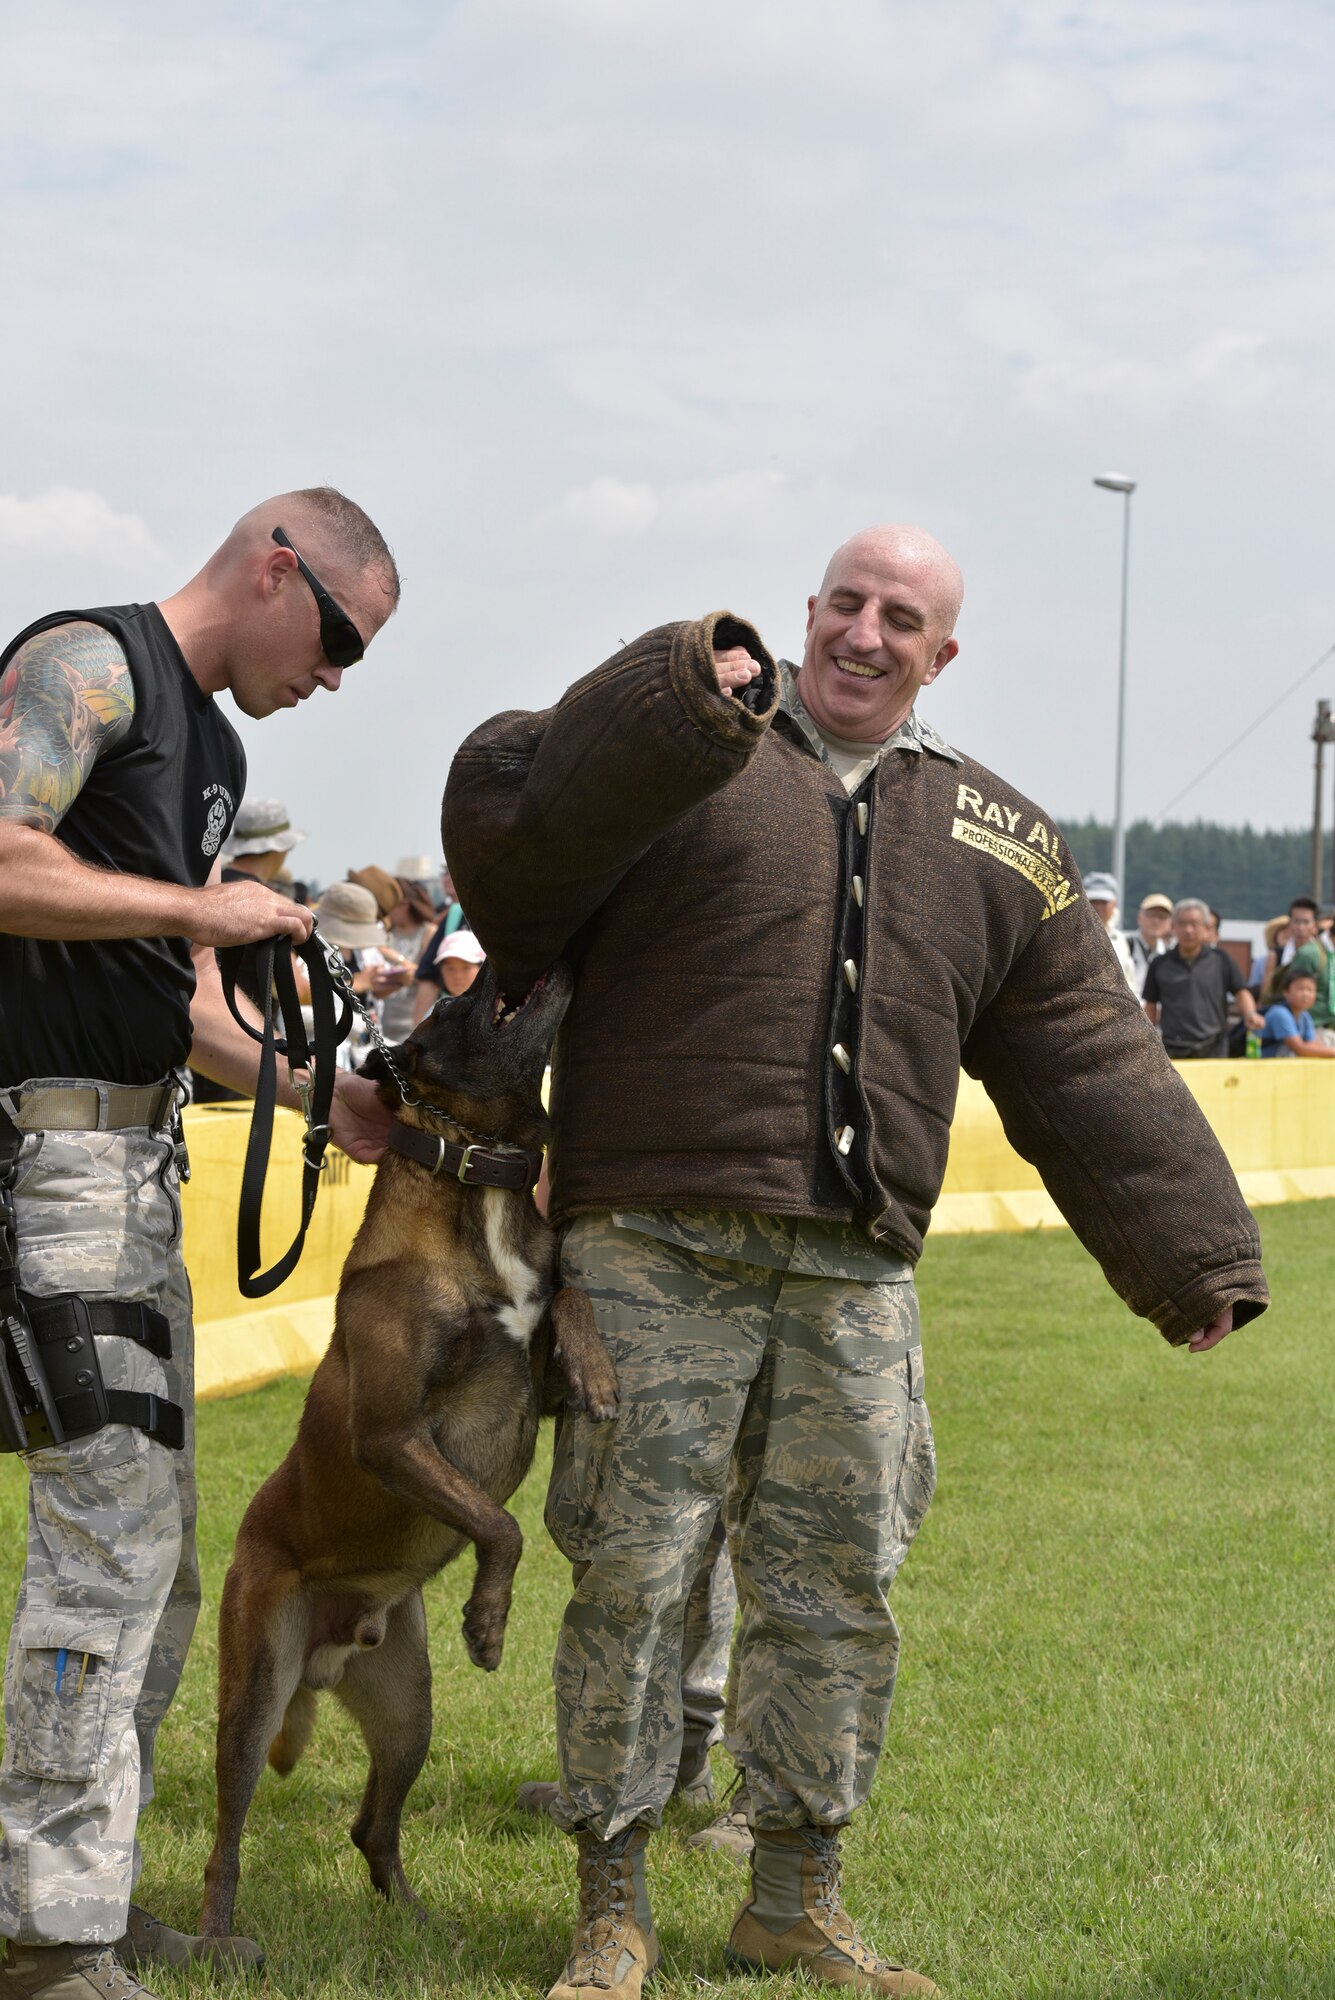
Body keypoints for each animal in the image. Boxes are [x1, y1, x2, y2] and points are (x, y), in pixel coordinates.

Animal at [197, 968, 615, 1936]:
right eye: (454, 1007)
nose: (497, 964)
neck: (473, 1182)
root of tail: (330, 1653)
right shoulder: (393, 1438)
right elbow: (500, 1525)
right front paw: (489, 1622)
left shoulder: (527, 1387)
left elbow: (568, 1295)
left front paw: (594, 1363)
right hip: (255, 1687)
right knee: (226, 1834)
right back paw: (218, 1939)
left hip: (407, 1710)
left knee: (370, 1826)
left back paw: (421, 1923)